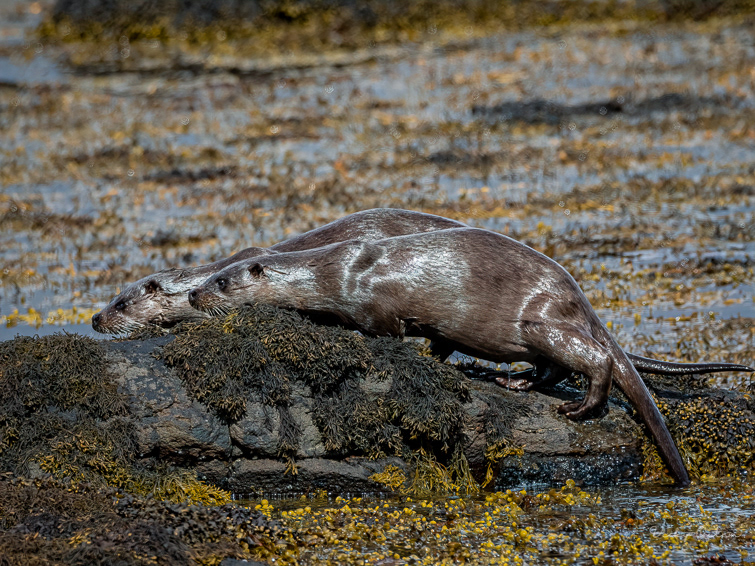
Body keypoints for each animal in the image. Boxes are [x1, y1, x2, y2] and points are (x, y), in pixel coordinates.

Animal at [187, 227, 752, 486]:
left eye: (221, 282)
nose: (193, 294)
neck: (332, 273)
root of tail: (577, 295)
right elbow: (439, 343)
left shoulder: (376, 306)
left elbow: (387, 335)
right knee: (551, 366)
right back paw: (518, 383)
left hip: (540, 319)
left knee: (596, 359)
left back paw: (579, 405)